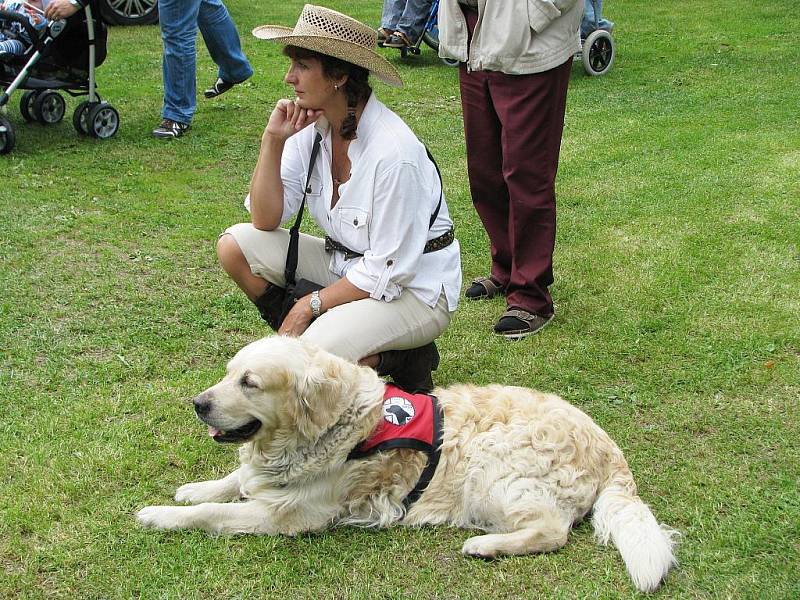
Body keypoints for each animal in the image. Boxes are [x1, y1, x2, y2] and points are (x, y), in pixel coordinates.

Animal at [136, 338, 676, 592]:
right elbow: (232, 481)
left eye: (249, 382)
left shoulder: (288, 516)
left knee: (552, 531)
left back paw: (485, 545)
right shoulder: (266, 477)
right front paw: (193, 488)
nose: (198, 404)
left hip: (492, 467)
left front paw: (161, 514)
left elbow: (213, 513)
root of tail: (610, 449)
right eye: (228, 374)